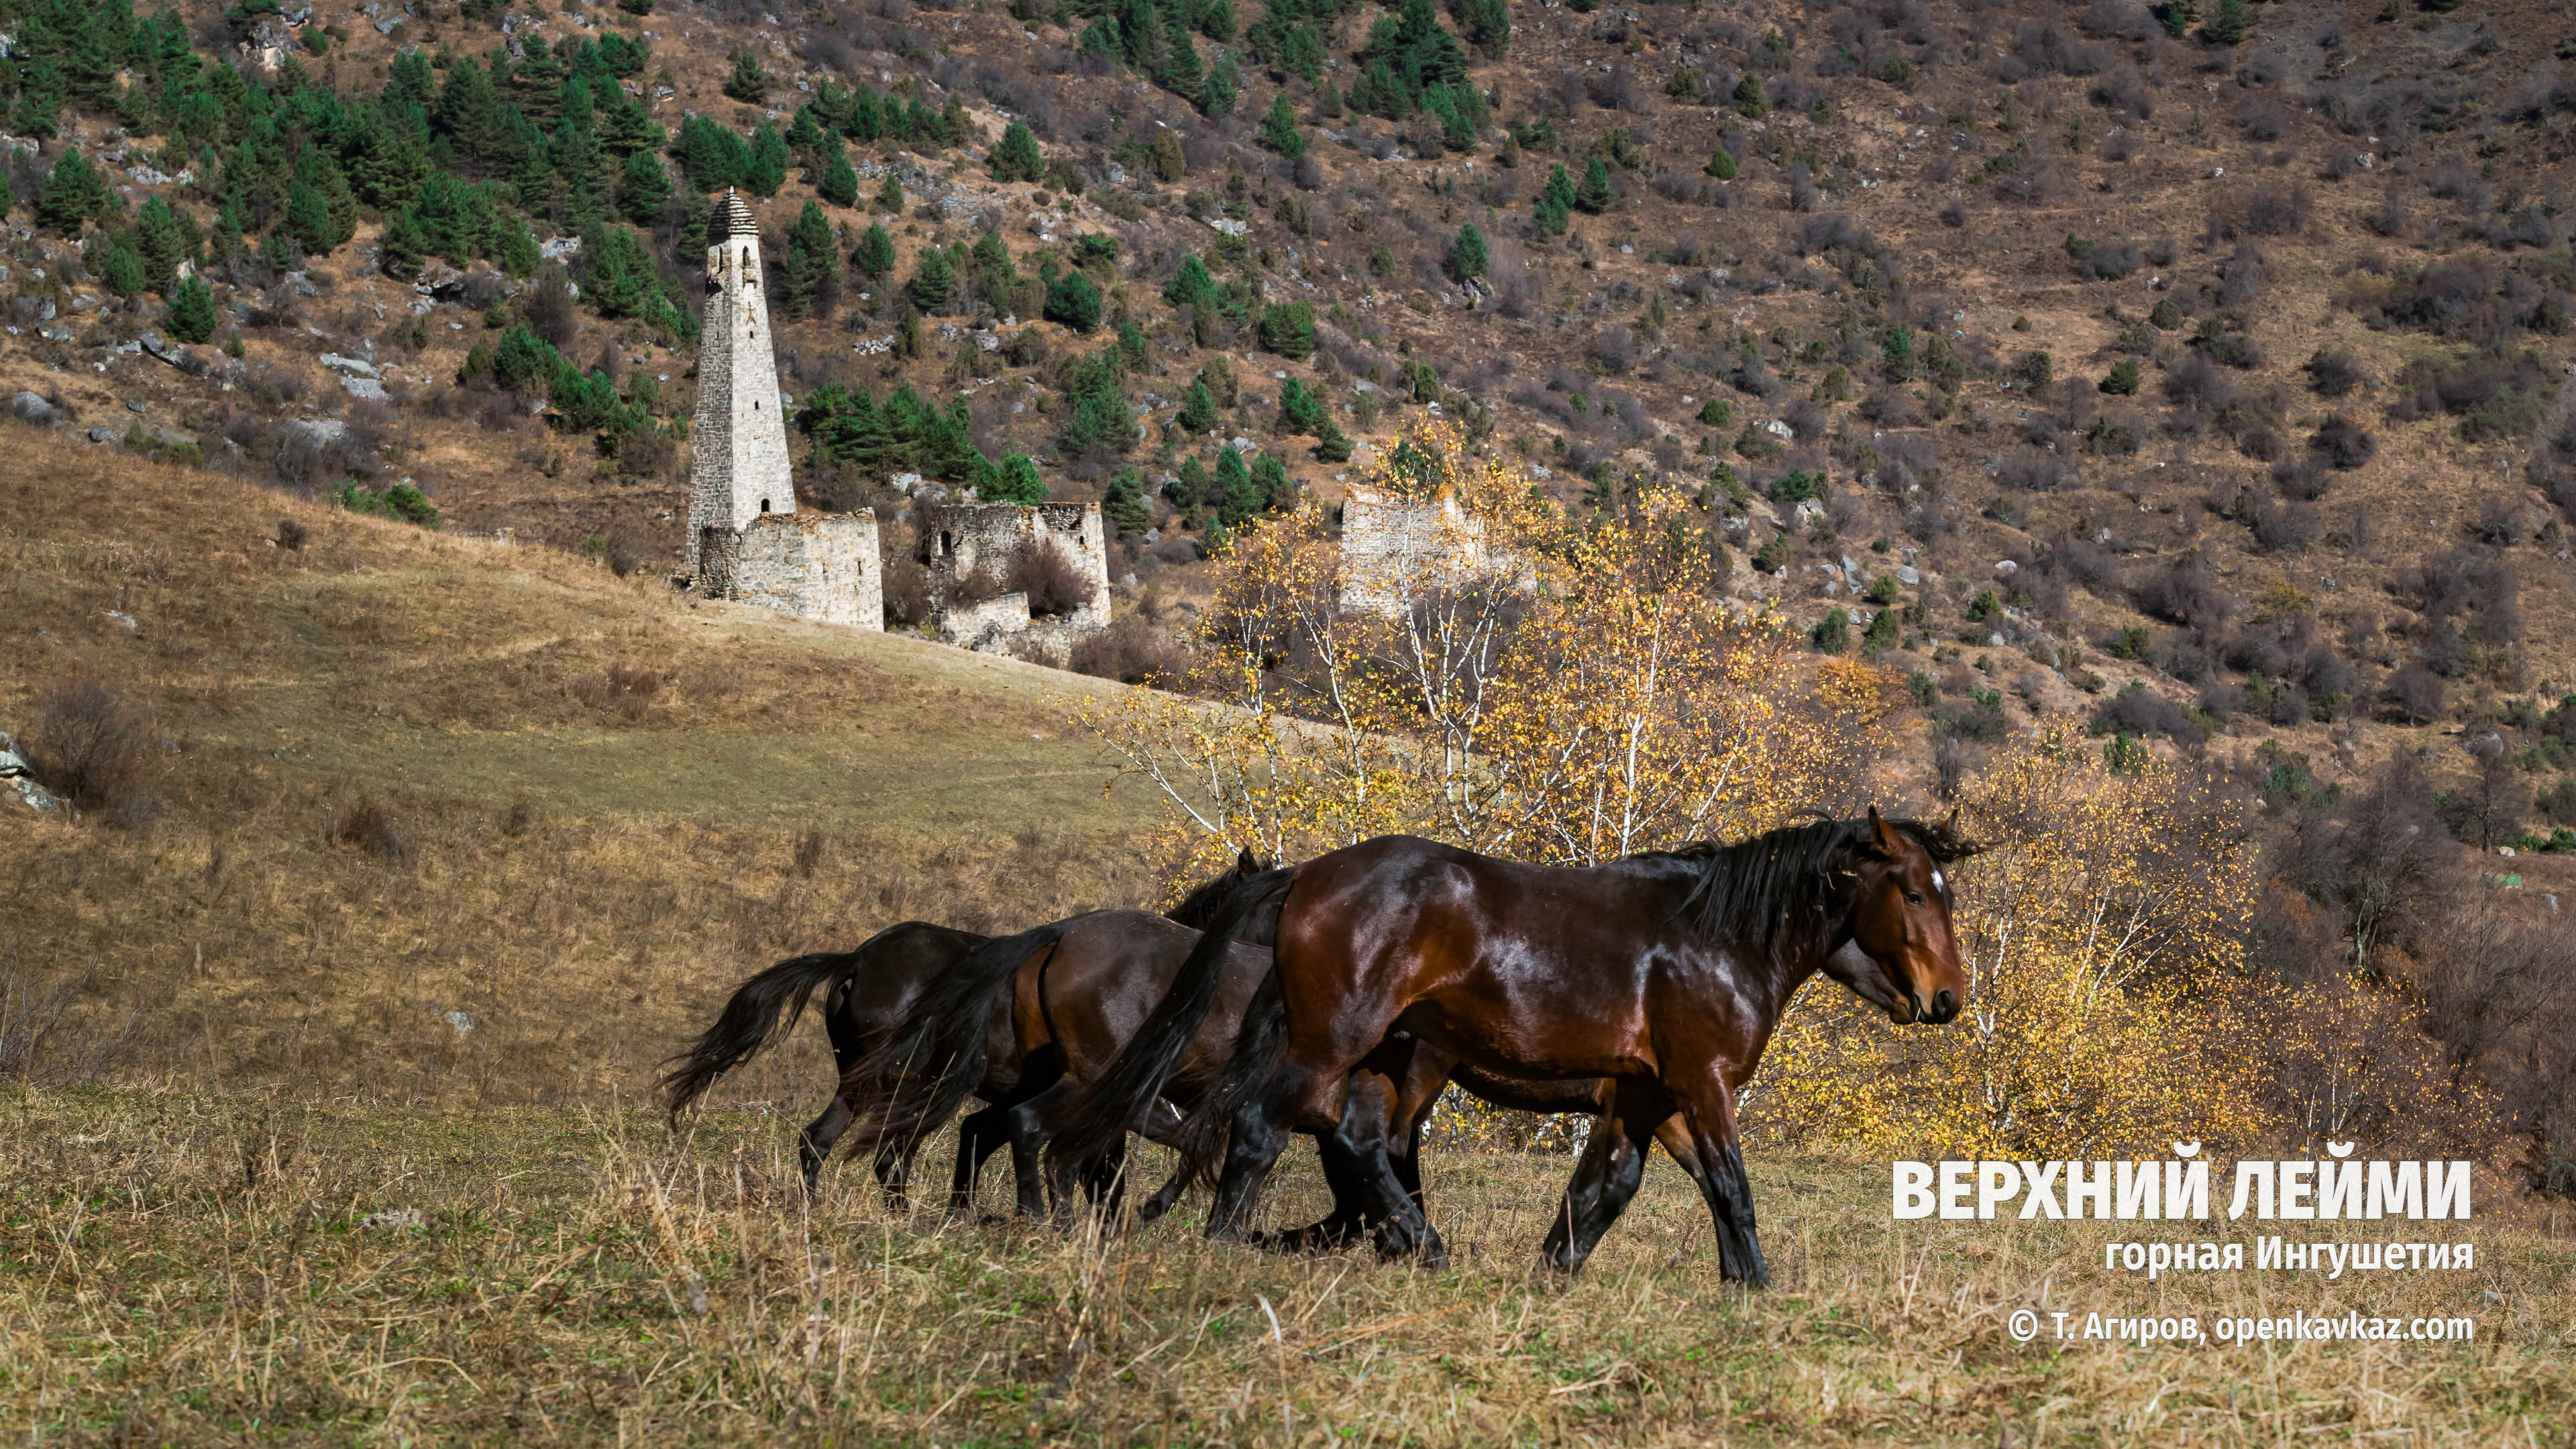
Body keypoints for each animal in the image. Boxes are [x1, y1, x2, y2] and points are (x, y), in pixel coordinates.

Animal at [1056, 804, 1978, 1279]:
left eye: (1945, 890)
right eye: (1915, 893)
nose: (1946, 1000)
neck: (1715, 938)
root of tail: (1306, 877)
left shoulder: (1648, 1093)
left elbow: (1607, 1190)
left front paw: (1558, 1270)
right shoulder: (1702, 1082)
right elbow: (1731, 1188)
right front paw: (1754, 1289)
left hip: (1379, 1057)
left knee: (1355, 1148)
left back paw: (1410, 1246)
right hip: (1338, 1045)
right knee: (1264, 1131)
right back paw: (1238, 1243)